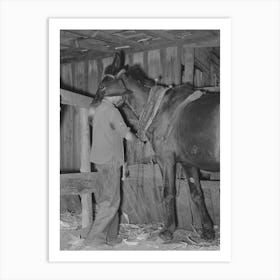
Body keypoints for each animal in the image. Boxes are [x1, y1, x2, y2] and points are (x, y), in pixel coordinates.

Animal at [95, 51, 220, 240]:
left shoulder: (165, 159)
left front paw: (167, 231)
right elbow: (197, 194)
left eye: (103, 85)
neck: (162, 109)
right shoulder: (188, 163)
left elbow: (168, 192)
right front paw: (207, 231)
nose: (92, 107)